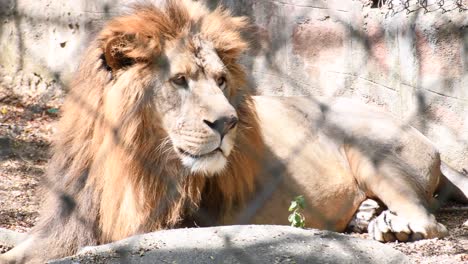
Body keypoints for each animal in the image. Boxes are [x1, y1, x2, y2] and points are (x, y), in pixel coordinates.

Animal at [1, 1, 466, 262]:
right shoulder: (66, 225)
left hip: (370, 147)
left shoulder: (172, 225)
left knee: (430, 224)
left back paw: (389, 226)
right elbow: (19, 247)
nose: (228, 123)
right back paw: (366, 215)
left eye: (221, 80)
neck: (128, 158)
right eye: (180, 81)